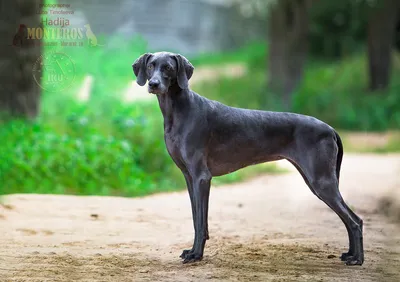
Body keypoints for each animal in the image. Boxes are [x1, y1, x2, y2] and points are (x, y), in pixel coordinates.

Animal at [133, 51, 364, 266]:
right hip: (315, 180)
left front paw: (196, 254)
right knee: (351, 219)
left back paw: (357, 259)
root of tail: (330, 129)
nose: (153, 84)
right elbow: (196, 218)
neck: (178, 111)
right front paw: (192, 251)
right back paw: (350, 254)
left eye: (169, 68)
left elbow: (200, 220)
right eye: (151, 65)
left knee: (355, 221)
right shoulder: (189, 178)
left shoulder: (201, 177)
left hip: (321, 181)